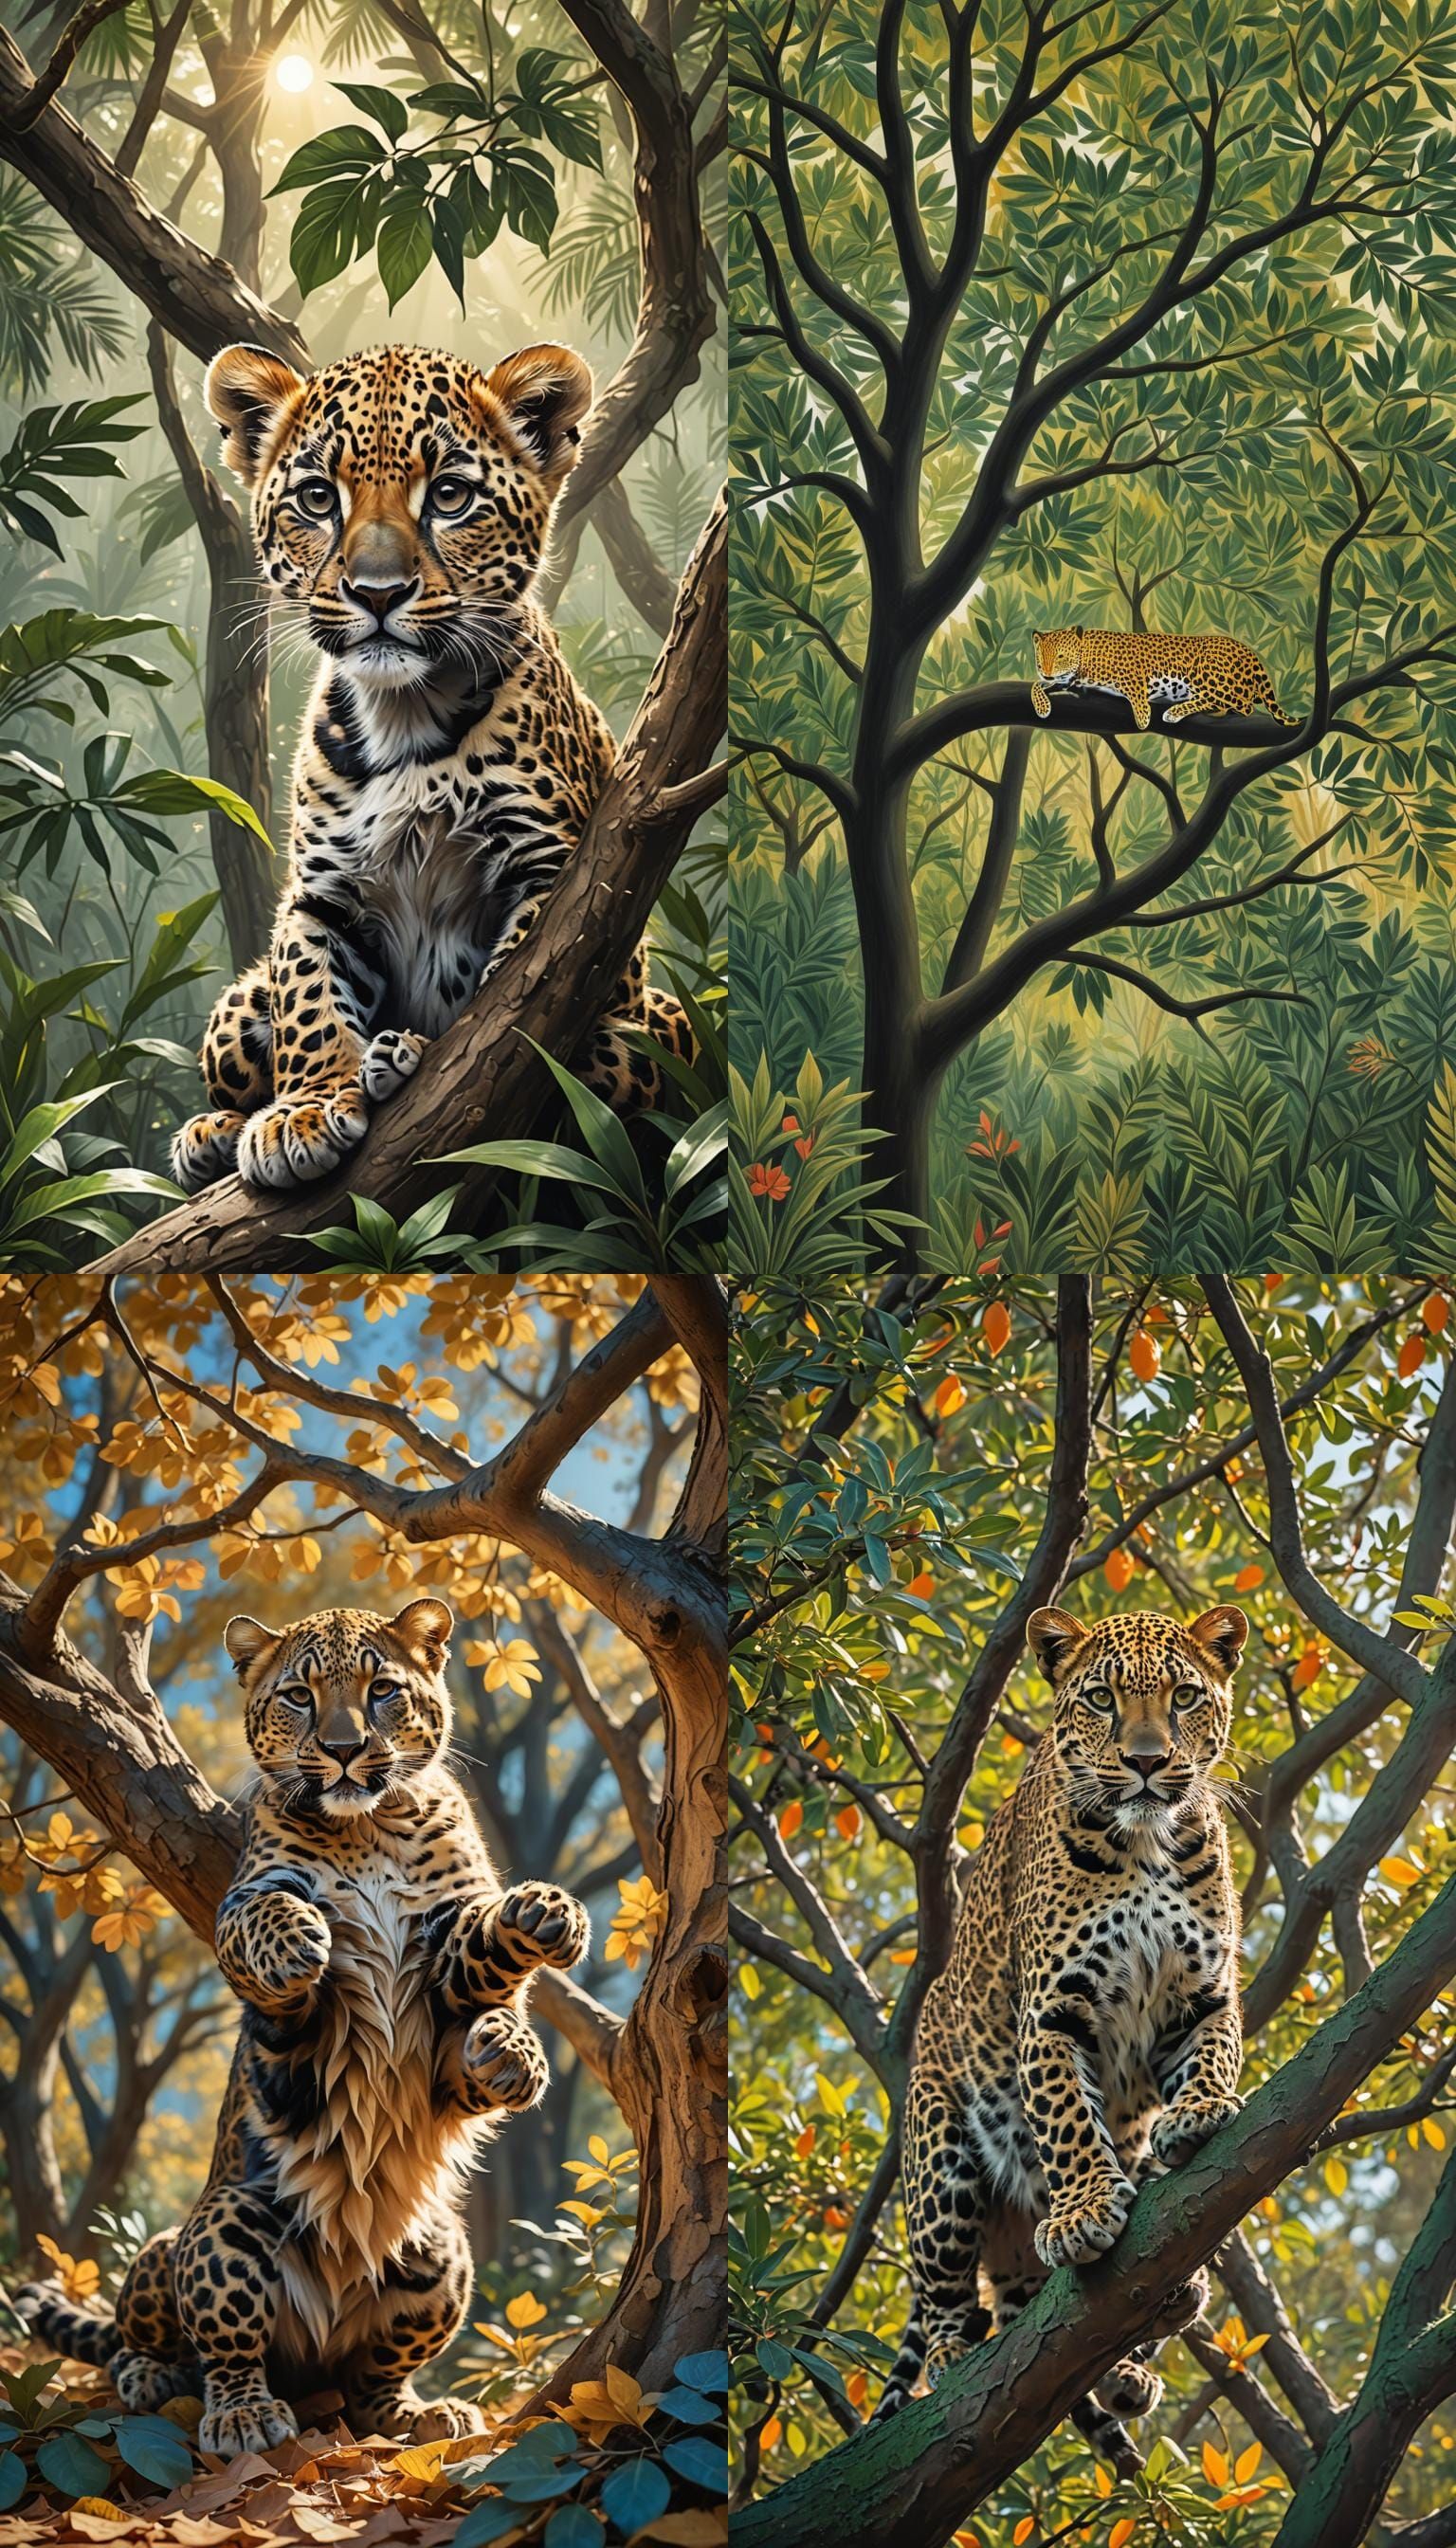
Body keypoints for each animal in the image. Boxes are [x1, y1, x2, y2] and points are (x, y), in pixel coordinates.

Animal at [16, 1597, 589, 2458]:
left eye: (383, 1689)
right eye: (297, 1696)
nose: (345, 1750)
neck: (372, 1826)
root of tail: (309, 2360)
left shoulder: (445, 1977)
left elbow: (486, 1957)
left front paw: (532, 1972)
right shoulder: (283, 2019)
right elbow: (258, 1917)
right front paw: (298, 1939)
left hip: (441, 2251)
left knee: (366, 2383)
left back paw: (418, 2413)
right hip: (216, 2225)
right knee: (194, 2348)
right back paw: (216, 2403)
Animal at [170, 339, 692, 1196]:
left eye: (449, 496)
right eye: (317, 498)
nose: (377, 593)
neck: (404, 715)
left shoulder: (560, 874)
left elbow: (519, 997)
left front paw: (422, 1053)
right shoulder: (321, 894)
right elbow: (307, 994)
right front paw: (303, 1110)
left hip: (667, 1022)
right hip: (234, 1007)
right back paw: (216, 1131)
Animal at [872, 1602, 1248, 2474]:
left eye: (1184, 1697)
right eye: (1102, 1699)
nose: (1145, 1762)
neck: (1148, 1846)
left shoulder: (1202, 1996)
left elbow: (1215, 2051)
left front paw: (1201, 2111)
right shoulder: (1054, 2010)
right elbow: (1070, 2125)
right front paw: (1081, 2212)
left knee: (1024, 2311)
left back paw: (1150, 2336)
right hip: (939, 2165)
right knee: (953, 2304)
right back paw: (956, 2353)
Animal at [1031, 626, 1298, 731]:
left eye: (1061, 656)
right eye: (1040, 659)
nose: (1046, 671)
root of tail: (1250, 653)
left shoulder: (1133, 671)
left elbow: (1136, 692)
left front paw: (1142, 717)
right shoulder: (1063, 680)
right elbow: (1037, 685)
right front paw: (1042, 707)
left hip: (1205, 671)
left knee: (1242, 706)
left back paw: (1176, 711)